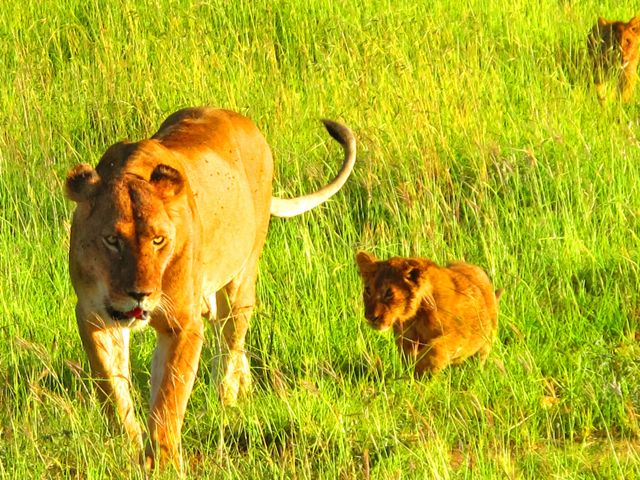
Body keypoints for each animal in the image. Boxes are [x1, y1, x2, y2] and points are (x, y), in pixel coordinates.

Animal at [67, 107, 358, 470]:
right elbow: (113, 391)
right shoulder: (93, 316)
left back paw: (227, 400)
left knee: (231, 340)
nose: (140, 294)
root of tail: (241, 119)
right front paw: (130, 451)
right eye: (111, 240)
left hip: (241, 280)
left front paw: (164, 464)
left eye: (159, 240)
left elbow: (168, 401)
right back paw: (243, 388)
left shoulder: (182, 323)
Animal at [356, 253, 500, 376]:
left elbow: (436, 349)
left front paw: (419, 373)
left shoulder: (461, 333)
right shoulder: (406, 340)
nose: (370, 317)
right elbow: (409, 357)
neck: (416, 316)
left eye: (389, 293)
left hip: (485, 341)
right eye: (368, 290)